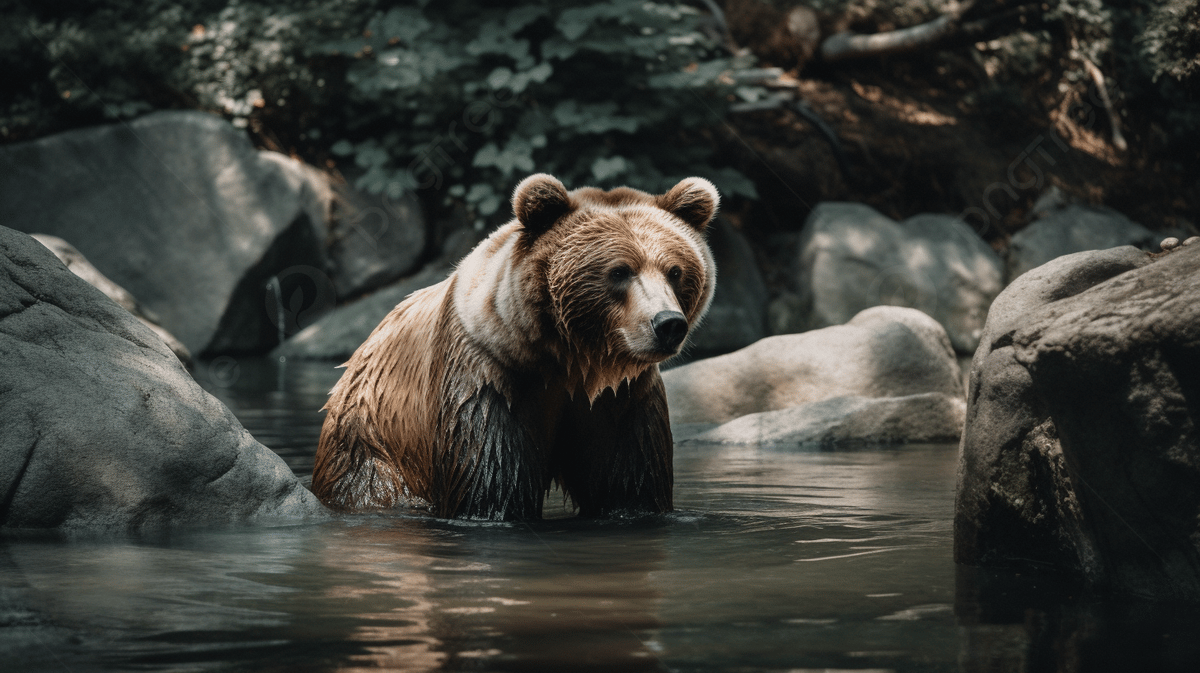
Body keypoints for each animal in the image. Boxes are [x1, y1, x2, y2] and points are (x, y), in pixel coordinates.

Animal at [311, 173, 718, 520]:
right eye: (620, 271)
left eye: (675, 271)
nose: (668, 324)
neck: (572, 361)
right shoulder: (487, 377)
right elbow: (490, 482)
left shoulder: (621, 398)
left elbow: (630, 482)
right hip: (372, 434)